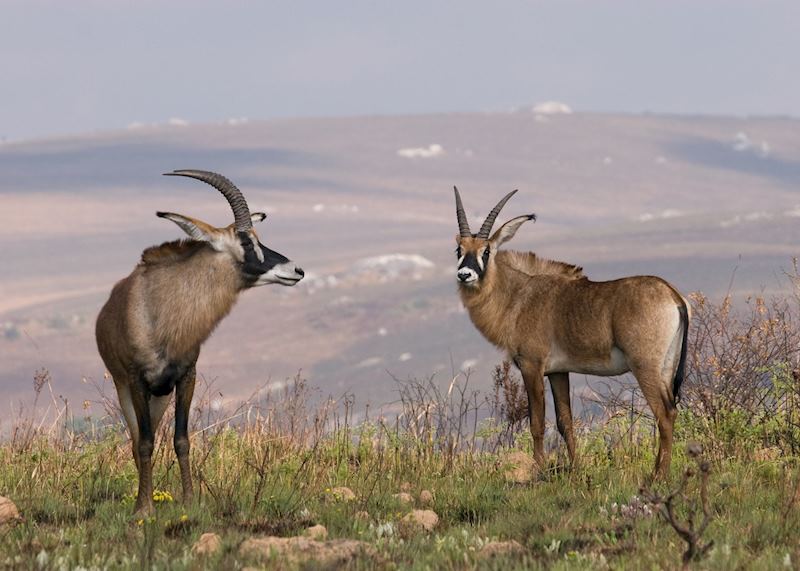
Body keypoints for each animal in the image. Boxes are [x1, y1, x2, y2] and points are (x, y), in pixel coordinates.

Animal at [96, 170, 304, 513]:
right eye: (246, 241)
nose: (296, 270)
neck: (161, 312)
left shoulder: (186, 376)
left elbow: (181, 439)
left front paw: (190, 500)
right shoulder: (137, 380)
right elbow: (145, 442)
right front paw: (144, 509)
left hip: (160, 395)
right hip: (125, 387)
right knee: (136, 438)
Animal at [453, 188, 689, 479]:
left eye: (486, 251)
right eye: (459, 249)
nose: (465, 275)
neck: (518, 295)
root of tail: (672, 295)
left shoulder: (532, 366)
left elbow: (537, 423)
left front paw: (539, 471)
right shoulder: (558, 371)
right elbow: (565, 422)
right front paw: (576, 469)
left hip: (645, 366)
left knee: (664, 414)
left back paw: (658, 476)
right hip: (666, 367)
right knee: (671, 411)